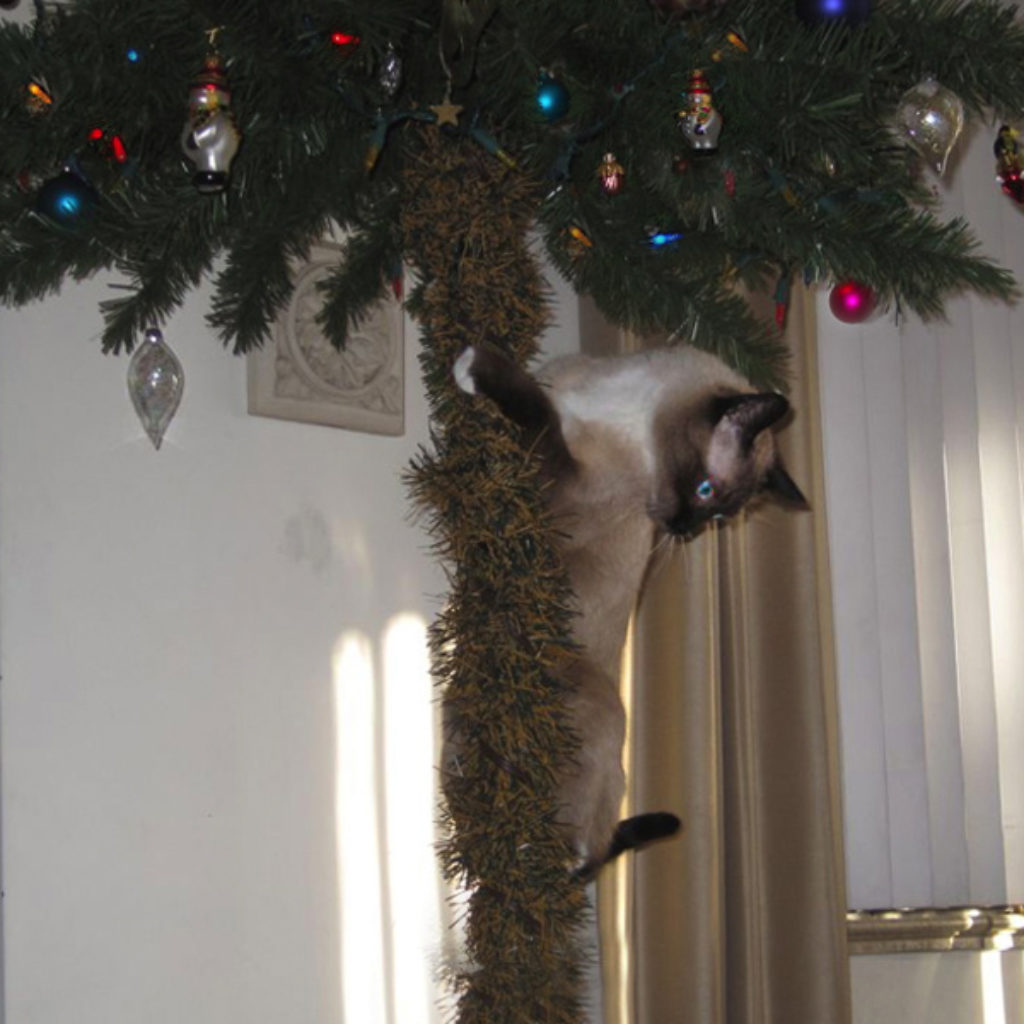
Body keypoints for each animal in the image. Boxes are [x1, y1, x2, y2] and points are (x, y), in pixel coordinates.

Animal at [448, 339, 806, 876]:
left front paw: (472, 365)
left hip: (591, 703)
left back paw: (537, 849)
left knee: (580, 847)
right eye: (707, 494)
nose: (683, 530)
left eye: (715, 511)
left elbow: (537, 411)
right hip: (464, 702)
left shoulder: (563, 485)